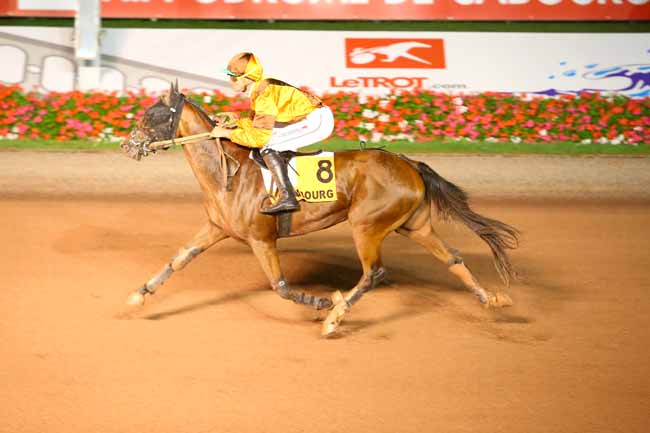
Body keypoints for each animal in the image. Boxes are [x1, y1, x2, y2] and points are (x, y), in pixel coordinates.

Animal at [121, 82, 519, 336]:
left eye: (151, 117)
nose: (127, 146)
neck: (228, 173)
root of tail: (410, 164)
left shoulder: (262, 239)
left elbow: (280, 287)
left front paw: (319, 301)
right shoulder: (216, 228)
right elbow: (178, 260)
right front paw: (137, 296)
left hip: (367, 226)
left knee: (374, 272)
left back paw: (335, 317)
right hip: (415, 225)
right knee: (453, 258)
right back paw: (490, 299)